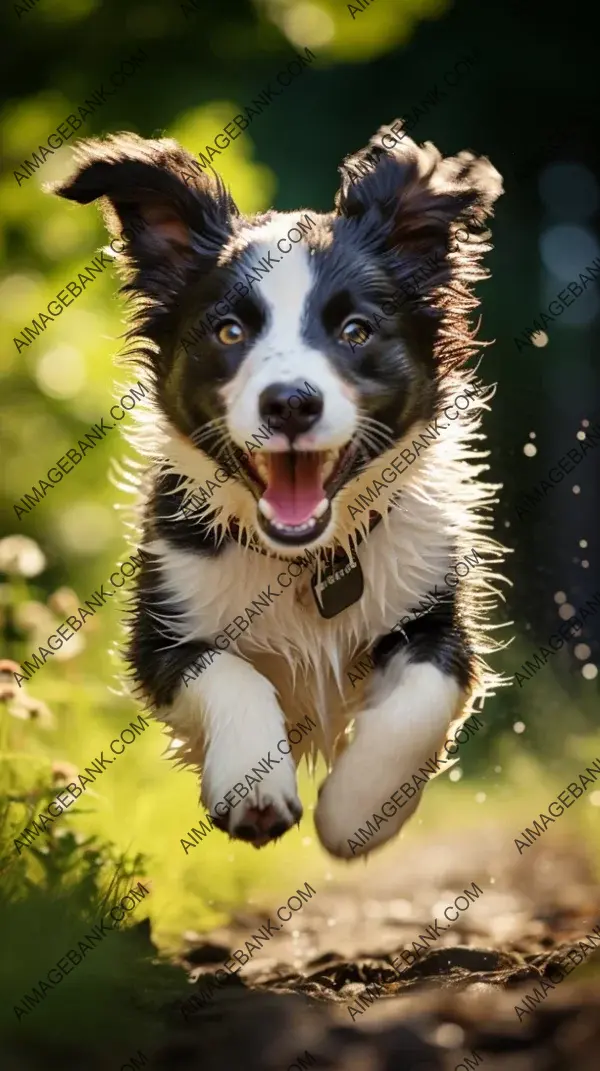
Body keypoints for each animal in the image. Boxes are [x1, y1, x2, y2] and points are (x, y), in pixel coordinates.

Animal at [52, 121, 505, 861]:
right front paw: (253, 787)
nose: (290, 402)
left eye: (356, 330)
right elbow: (228, 672)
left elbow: (422, 695)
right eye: (230, 330)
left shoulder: (435, 608)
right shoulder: (161, 629)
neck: (304, 561)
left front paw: (358, 810)